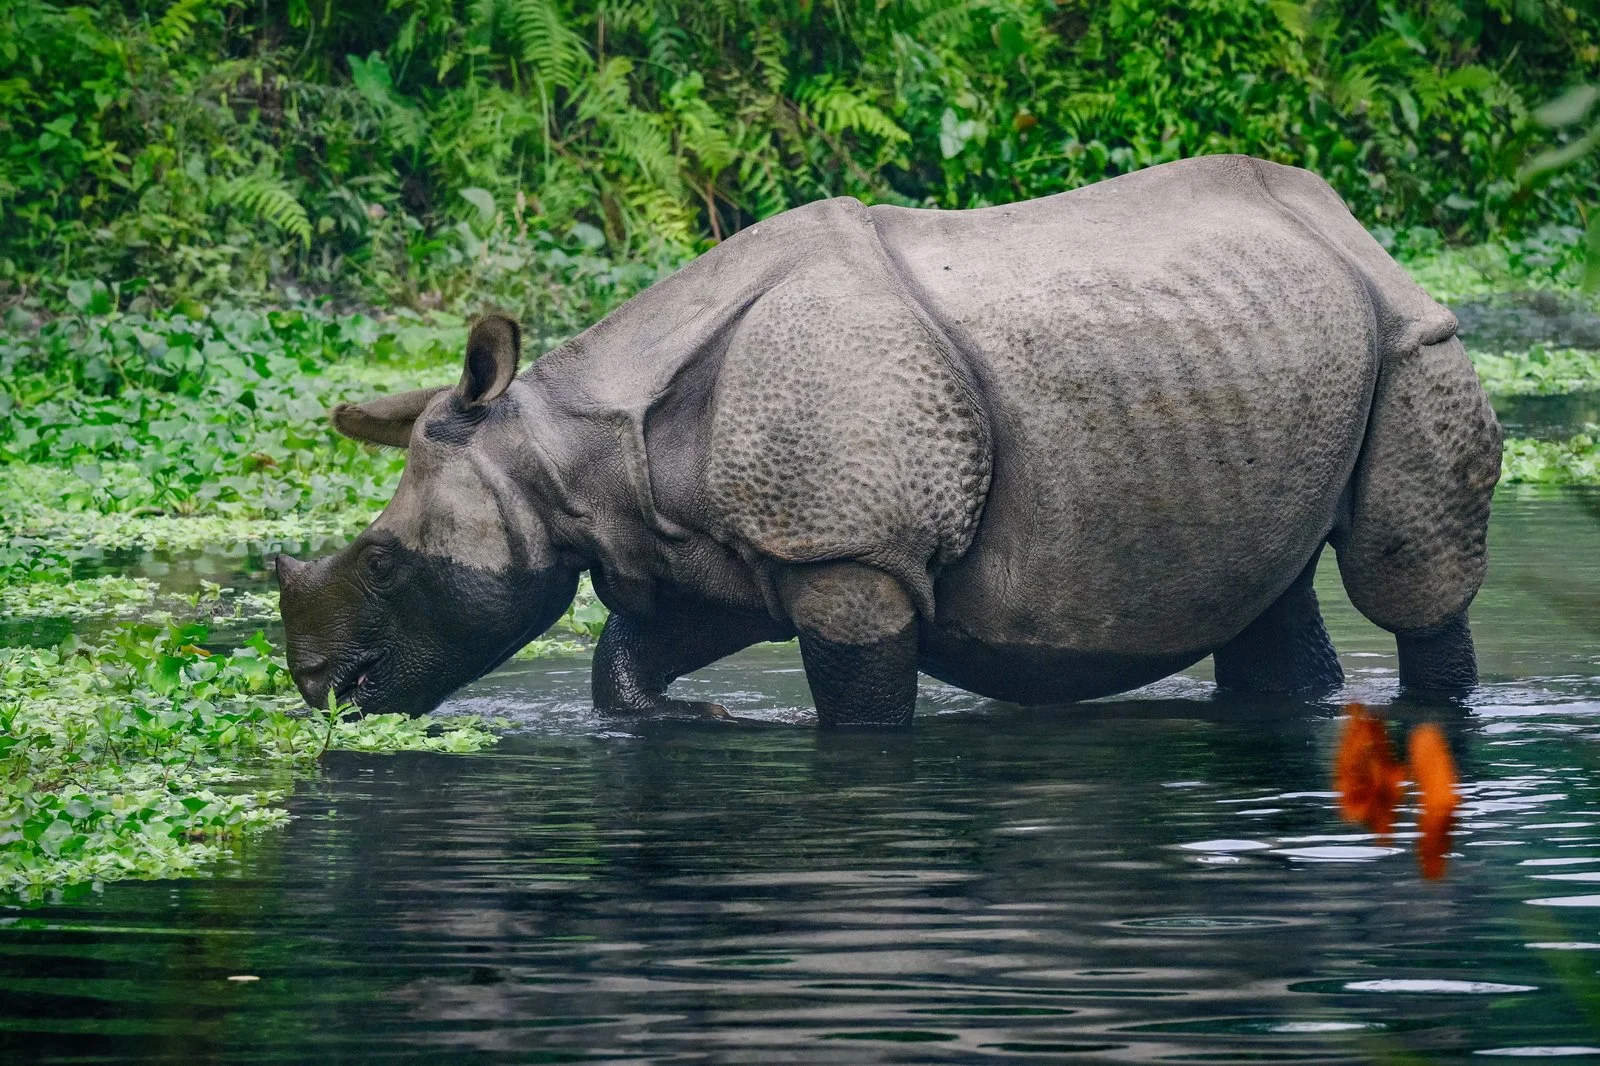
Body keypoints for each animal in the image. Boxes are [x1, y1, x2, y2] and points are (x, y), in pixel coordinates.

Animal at [275, 155, 1503, 726]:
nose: (323, 690)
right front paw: (698, 717)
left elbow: (861, 711)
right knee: (1266, 586)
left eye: (382, 560)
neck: (574, 449)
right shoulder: (719, 547)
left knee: (1403, 578)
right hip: (1265, 347)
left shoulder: (850, 555)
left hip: (1414, 339)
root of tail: (1349, 222)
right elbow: (627, 658)